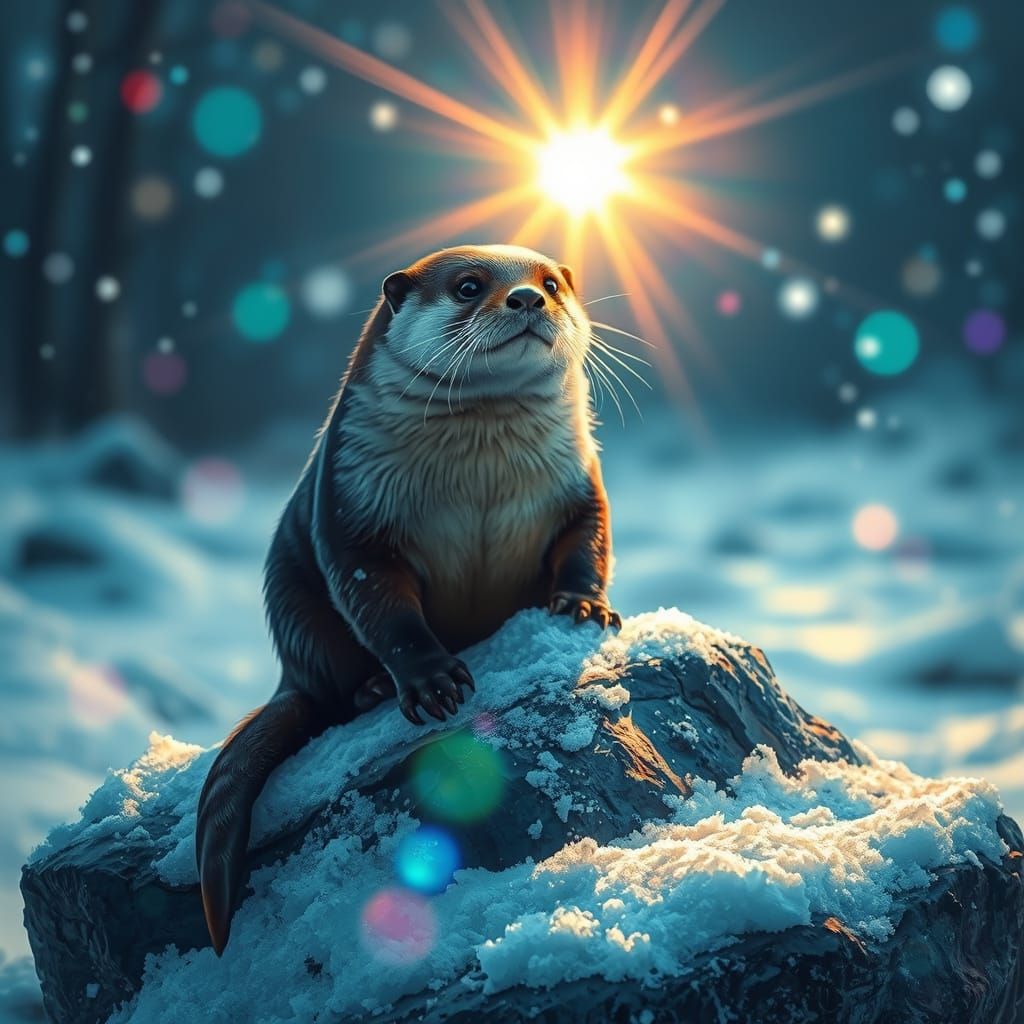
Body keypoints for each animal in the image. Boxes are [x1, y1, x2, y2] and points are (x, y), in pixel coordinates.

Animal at [196, 244, 619, 953]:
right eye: (469, 286)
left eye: (551, 282)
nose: (527, 298)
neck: (480, 477)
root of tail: (289, 673)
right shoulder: (351, 505)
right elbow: (380, 604)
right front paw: (431, 681)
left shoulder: (579, 479)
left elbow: (588, 541)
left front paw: (582, 607)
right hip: (294, 604)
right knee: (331, 685)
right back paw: (370, 690)